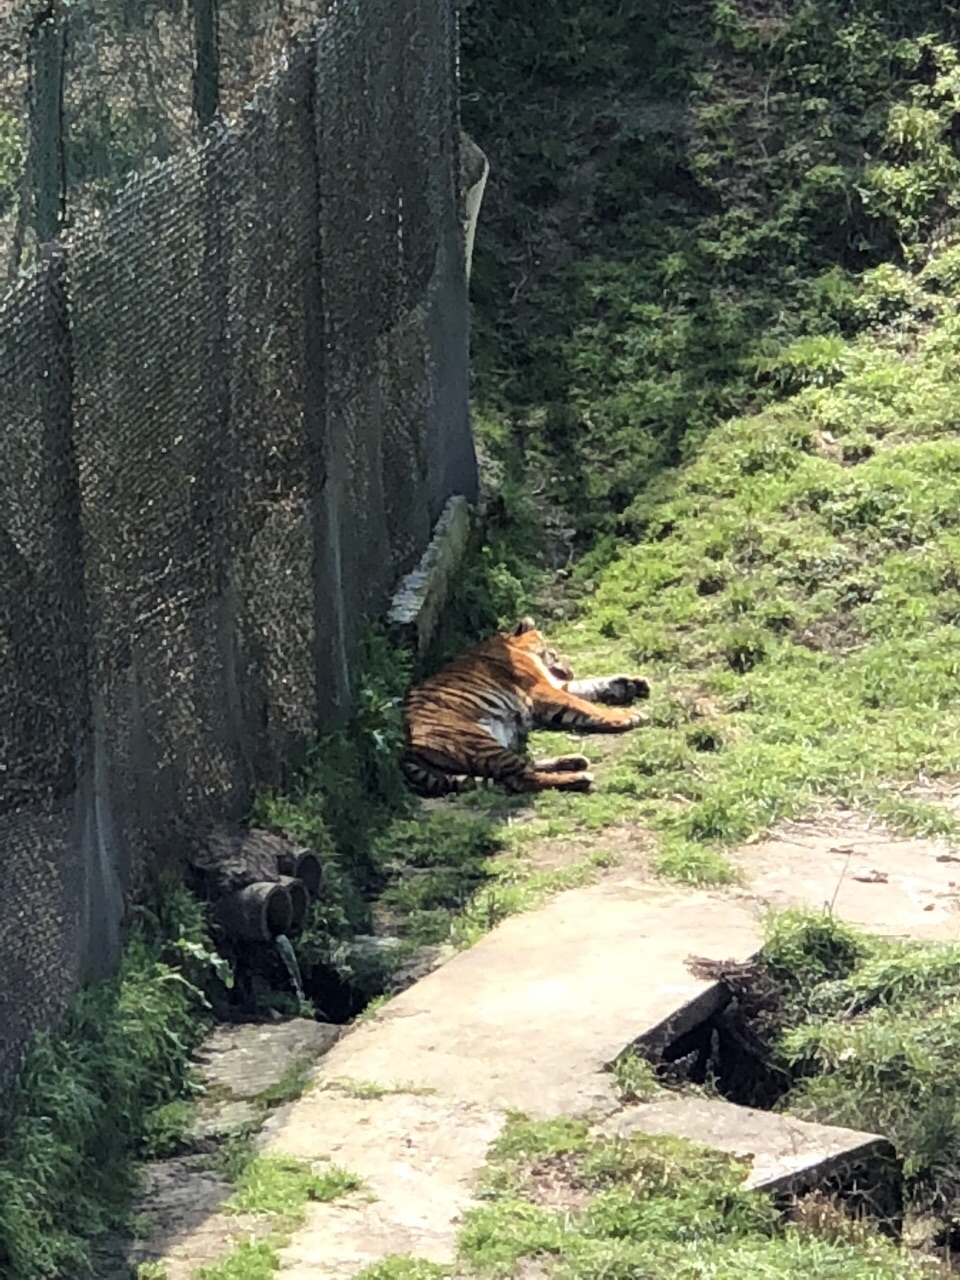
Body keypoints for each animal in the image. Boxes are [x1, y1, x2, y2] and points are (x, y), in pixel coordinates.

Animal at [399, 616, 655, 793]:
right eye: (553, 652)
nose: (570, 670)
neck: (511, 644)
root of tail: (406, 752)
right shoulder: (542, 689)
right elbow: (584, 705)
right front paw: (627, 715)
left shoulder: (554, 685)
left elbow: (589, 686)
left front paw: (631, 684)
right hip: (476, 740)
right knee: (521, 778)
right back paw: (578, 777)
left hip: (498, 741)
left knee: (526, 766)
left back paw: (573, 761)